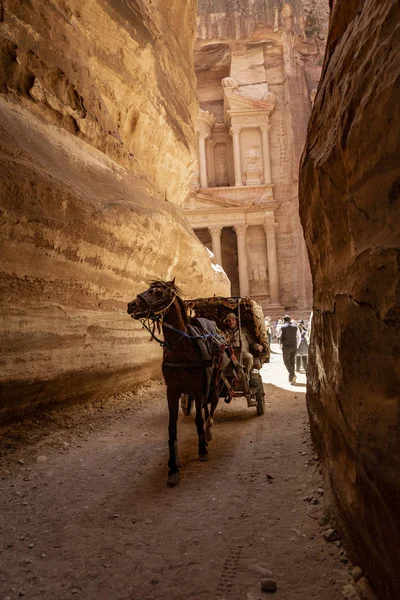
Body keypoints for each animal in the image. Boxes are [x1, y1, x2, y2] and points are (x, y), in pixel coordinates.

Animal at [126, 278, 225, 486]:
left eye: (158, 292)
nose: (132, 305)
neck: (182, 350)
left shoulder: (197, 389)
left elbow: (198, 419)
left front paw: (202, 449)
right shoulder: (172, 391)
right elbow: (171, 428)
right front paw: (173, 467)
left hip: (215, 383)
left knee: (210, 407)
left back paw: (208, 432)